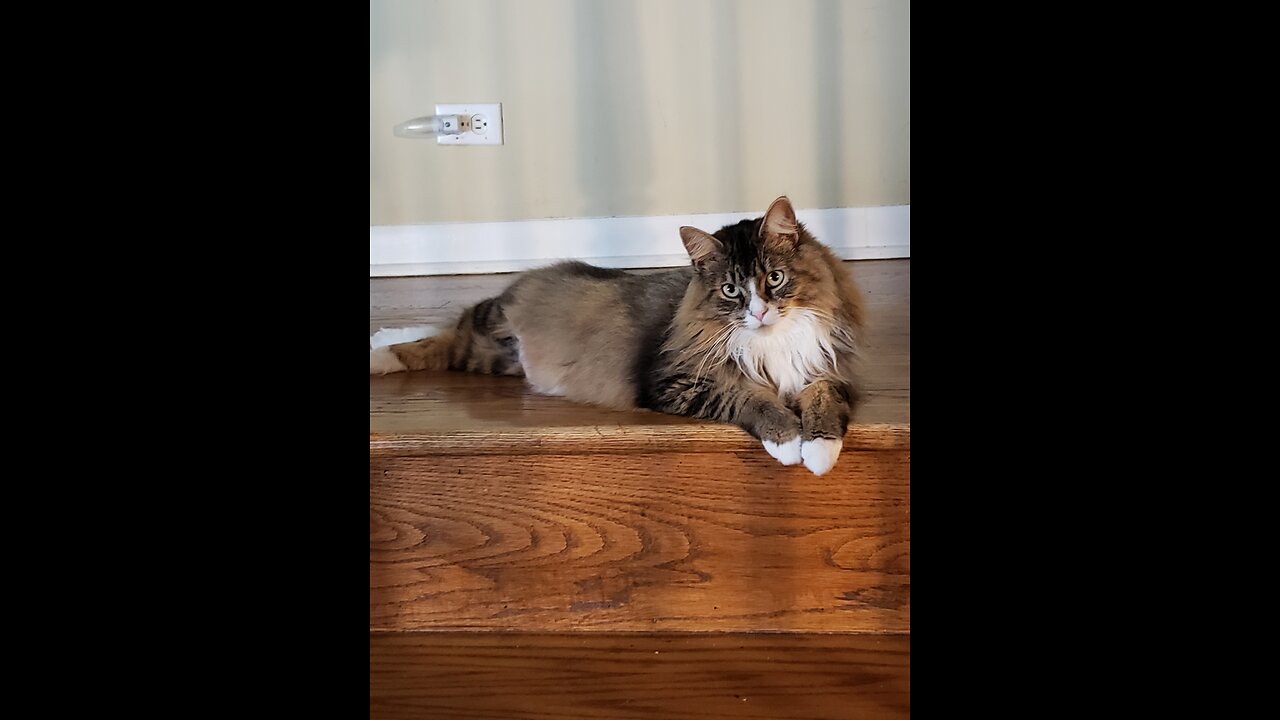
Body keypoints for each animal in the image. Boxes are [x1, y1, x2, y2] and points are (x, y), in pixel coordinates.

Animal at [373, 196, 870, 476]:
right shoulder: (679, 381)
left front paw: (820, 452)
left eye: (775, 278)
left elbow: (824, 405)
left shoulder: (824, 369)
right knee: (442, 336)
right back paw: (379, 352)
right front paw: (788, 443)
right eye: (731, 290)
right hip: (487, 330)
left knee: (444, 335)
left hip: (496, 359)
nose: (760, 311)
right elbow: (752, 398)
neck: (772, 340)